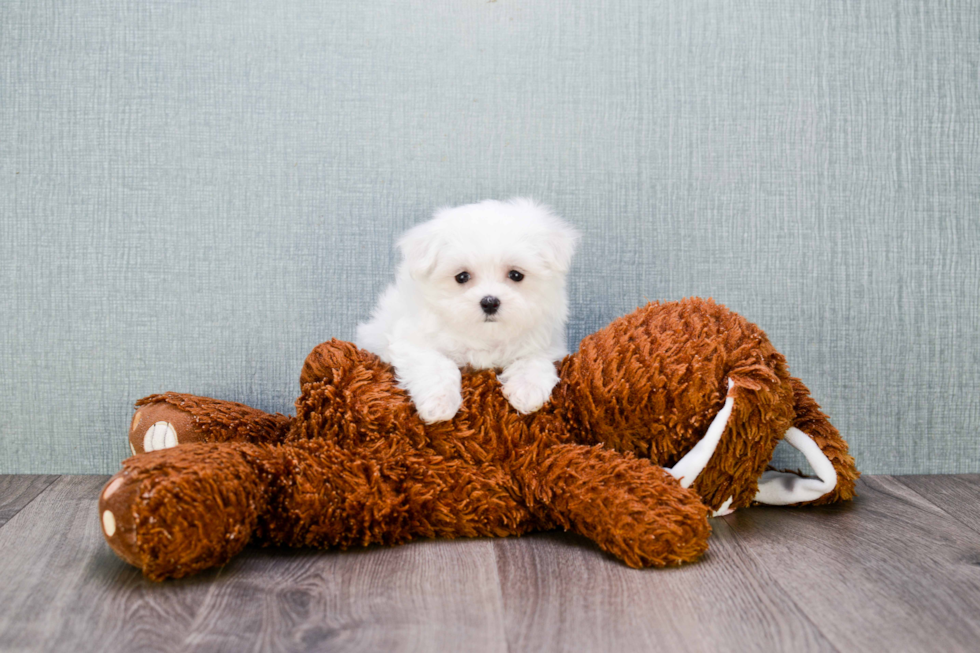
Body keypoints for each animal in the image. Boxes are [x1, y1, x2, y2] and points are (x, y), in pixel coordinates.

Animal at [356, 199, 580, 422]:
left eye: (516, 275)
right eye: (462, 277)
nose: (489, 302)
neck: (485, 335)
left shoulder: (547, 342)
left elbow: (534, 359)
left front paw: (527, 390)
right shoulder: (411, 340)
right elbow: (437, 364)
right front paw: (439, 403)